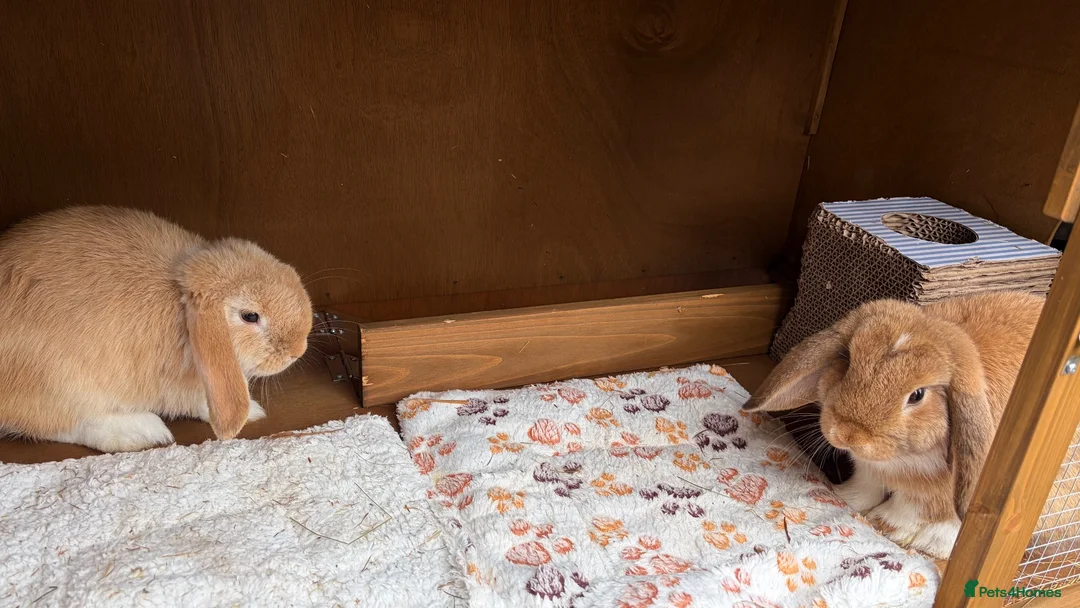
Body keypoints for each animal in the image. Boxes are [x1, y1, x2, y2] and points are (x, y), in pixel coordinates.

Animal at [0, 206, 312, 452]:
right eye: (250, 316)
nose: (298, 350)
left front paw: (253, 410)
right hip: (58, 380)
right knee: (56, 423)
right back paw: (141, 431)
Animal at [742, 291, 1045, 559]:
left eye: (917, 395)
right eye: (848, 361)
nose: (848, 435)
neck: (902, 460)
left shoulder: (931, 494)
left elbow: (914, 509)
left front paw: (884, 525)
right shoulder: (870, 472)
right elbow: (867, 487)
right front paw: (844, 497)